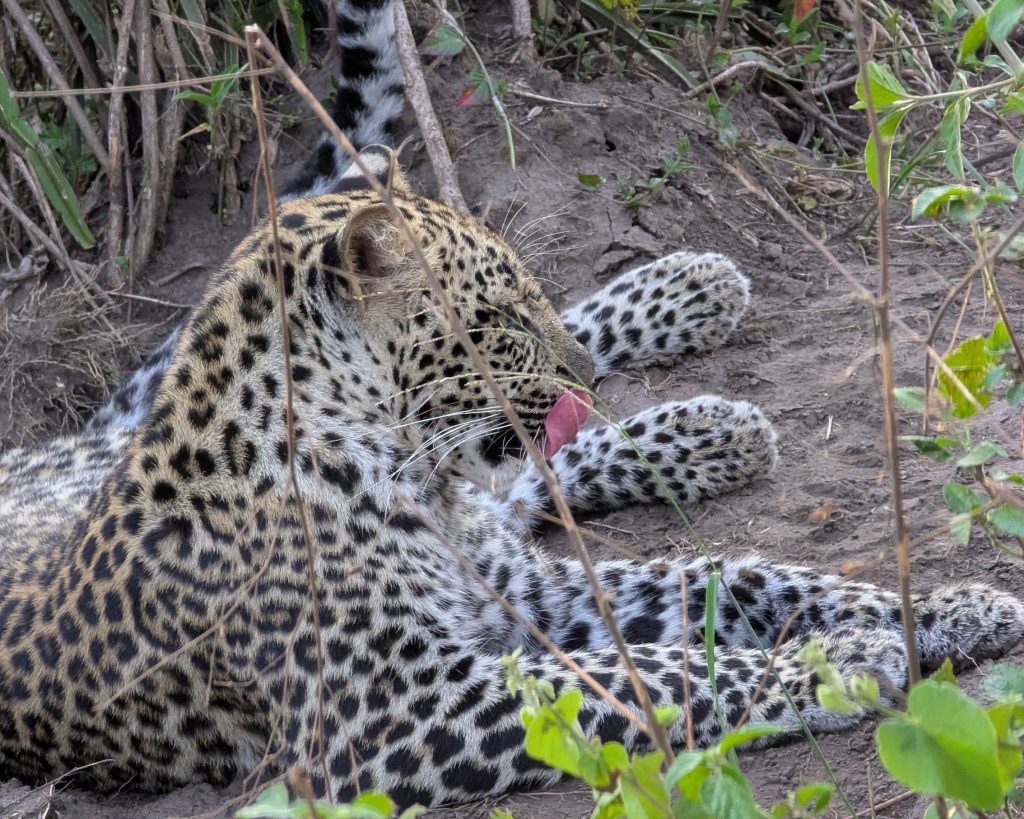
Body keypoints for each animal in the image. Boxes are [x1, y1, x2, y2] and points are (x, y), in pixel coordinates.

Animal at [2, 0, 1023, 811]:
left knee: (534, 481)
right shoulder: (392, 712)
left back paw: (694, 332)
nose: (583, 377)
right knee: (533, 481)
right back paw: (698, 398)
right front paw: (841, 661)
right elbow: (649, 671)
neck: (392, 477)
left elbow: (739, 579)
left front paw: (944, 605)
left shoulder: (533, 593)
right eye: (494, 317)